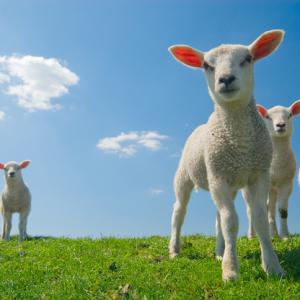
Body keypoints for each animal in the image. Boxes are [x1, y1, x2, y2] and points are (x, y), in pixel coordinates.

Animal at [169, 30, 286, 282]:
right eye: (206, 65)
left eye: (248, 59)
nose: (226, 79)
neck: (240, 142)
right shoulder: (218, 176)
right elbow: (231, 222)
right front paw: (231, 271)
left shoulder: (258, 175)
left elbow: (259, 219)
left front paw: (272, 266)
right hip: (185, 176)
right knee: (179, 211)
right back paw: (174, 250)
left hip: (227, 183)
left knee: (218, 218)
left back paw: (219, 252)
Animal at [246, 102, 300, 240]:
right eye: (267, 117)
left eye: (290, 115)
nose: (280, 125)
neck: (276, 164)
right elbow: (262, 209)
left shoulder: (287, 183)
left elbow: (282, 211)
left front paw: (285, 236)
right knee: (251, 210)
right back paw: (252, 236)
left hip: (273, 190)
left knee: (270, 208)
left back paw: (274, 234)